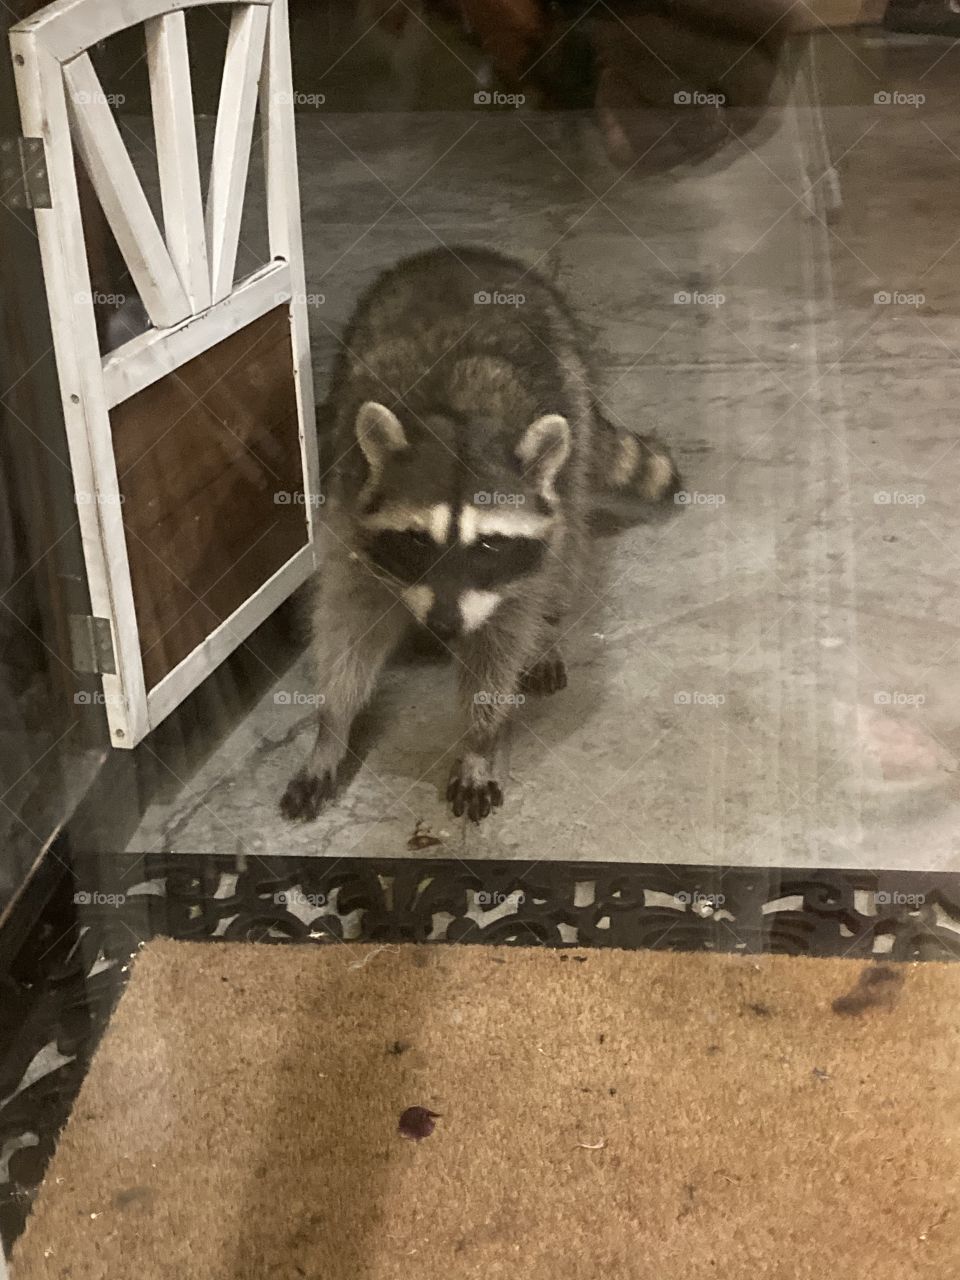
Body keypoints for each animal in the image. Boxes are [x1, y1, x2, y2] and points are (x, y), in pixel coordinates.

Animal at [280, 246, 678, 823]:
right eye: (416, 542)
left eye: (488, 544)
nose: (445, 625)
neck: (455, 419)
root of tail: (466, 253)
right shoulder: (348, 511)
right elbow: (347, 627)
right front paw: (332, 728)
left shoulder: (515, 566)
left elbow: (501, 641)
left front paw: (479, 740)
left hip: (571, 424)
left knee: (567, 550)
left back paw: (547, 630)